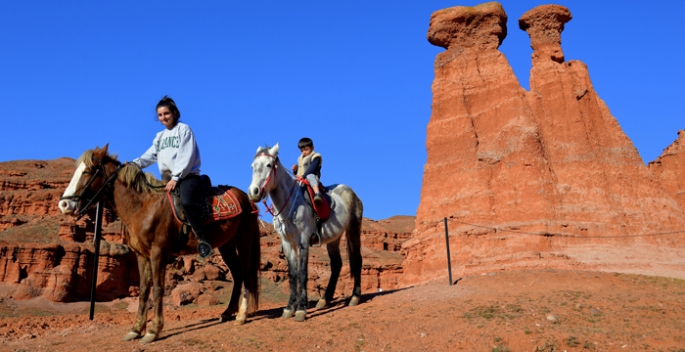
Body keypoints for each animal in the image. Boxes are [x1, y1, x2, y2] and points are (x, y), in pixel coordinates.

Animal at [57, 145, 260, 344]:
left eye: (87, 171)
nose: (64, 205)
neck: (143, 206)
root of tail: (246, 198)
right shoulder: (142, 255)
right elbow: (144, 290)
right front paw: (135, 329)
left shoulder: (158, 252)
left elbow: (157, 289)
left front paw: (153, 331)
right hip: (226, 245)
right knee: (238, 274)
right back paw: (227, 312)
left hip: (243, 239)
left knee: (246, 274)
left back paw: (241, 315)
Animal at [247, 143, 364, 322]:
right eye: (253, 166)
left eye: (268, 165)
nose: (253, 192)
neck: (290, 204)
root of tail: (352, 193)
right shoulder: (288, 243)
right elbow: (292, 273)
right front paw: (289, 308)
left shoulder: (303, 241)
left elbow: (302, 273)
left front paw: (301, 309)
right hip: (334, 239)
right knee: (337, 264)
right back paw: (324, 299)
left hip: (353, 230)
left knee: (357, 259)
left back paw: (355, 297)